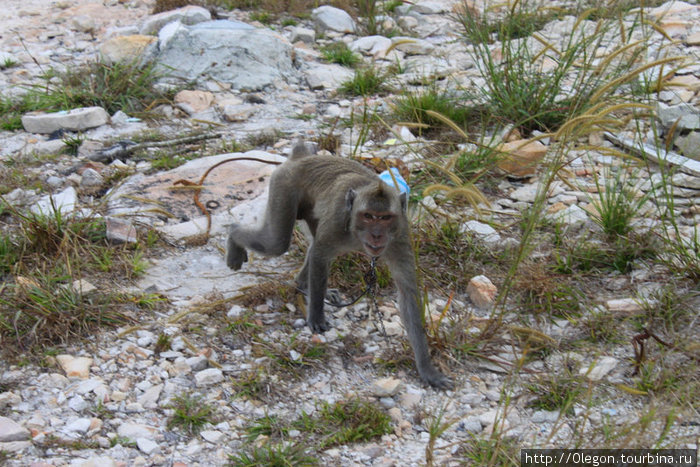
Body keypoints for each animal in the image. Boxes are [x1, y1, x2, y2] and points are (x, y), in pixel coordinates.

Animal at [227, 144, 452, 392]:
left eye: (385, 218)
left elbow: (408, 292)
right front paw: (316, 315)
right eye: (368, 216)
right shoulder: (337, 222)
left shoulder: (400, 235)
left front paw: (426, 368)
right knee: (277, 242)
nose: (376, 234)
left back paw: (303, 284)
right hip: (284, 185)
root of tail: (301, 156)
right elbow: (319, 254)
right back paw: (234, 237)